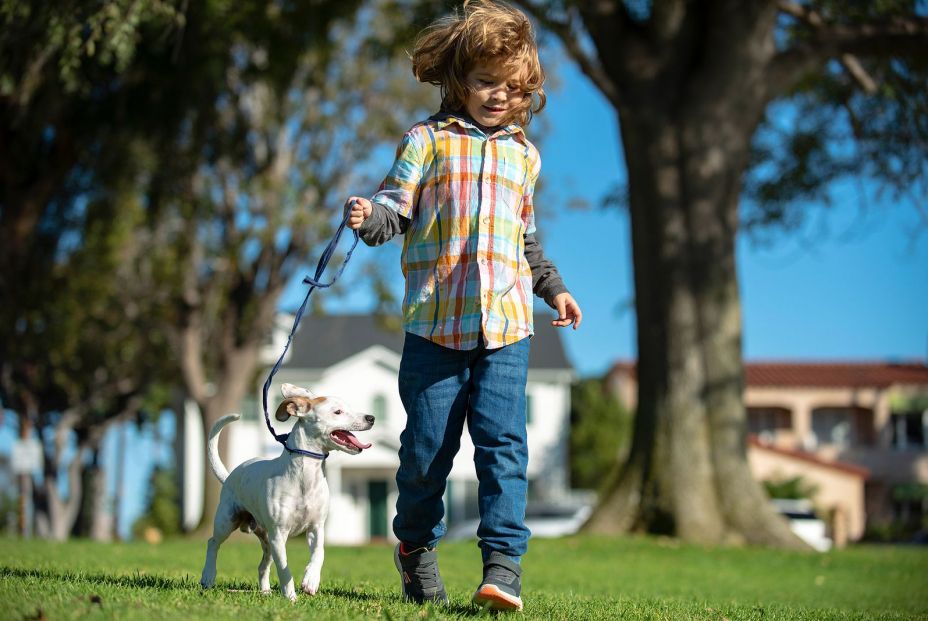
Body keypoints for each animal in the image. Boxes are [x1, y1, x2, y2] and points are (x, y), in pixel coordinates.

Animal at [199, 382, 374, 600]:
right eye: (338, 412)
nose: (371, 418)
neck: (306, 477)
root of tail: (230, 474)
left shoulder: (316, 527)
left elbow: (319, 553)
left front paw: (310, 581)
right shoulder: (279, 534)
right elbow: (284, 568)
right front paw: (291, 596)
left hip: (266, 540)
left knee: (262, 565)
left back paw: (265, 591)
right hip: (228, 520)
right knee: (213, 542)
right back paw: (208, 576)